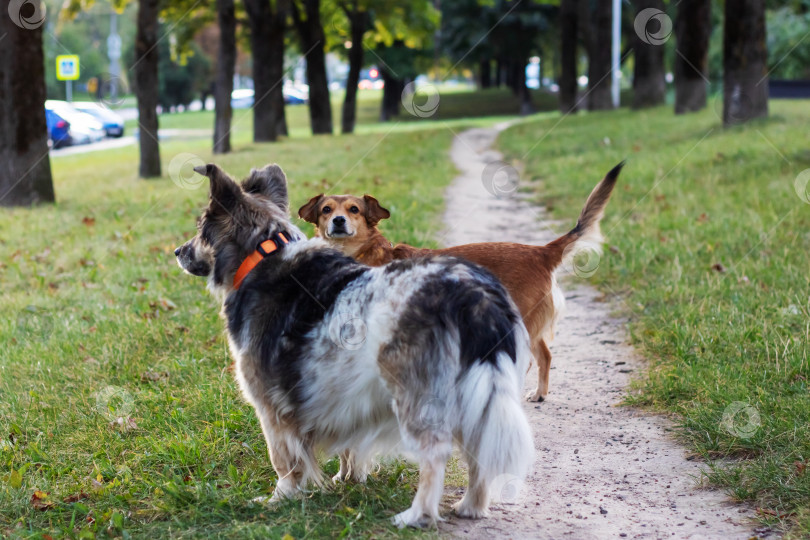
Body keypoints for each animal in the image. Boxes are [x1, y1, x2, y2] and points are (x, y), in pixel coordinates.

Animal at [174, 163, 532, 528]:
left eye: (201, 229)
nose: (177, 252)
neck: (264, 252)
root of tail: (471, 293)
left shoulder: (271, 405)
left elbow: (284, 460)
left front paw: (281, 498)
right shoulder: (345, 401)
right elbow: (350, 448)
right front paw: (349, 478)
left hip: (416, 397)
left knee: (435, 454)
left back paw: (417, 514)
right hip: (477, 397)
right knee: (478, 451)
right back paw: (471, 506)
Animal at [300, 165, 620, 400]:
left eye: (353, 210)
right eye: (326, 210)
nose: (338, 221)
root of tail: (539, 252)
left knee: (529, 360)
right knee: (545, 355)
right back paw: (539, 394)